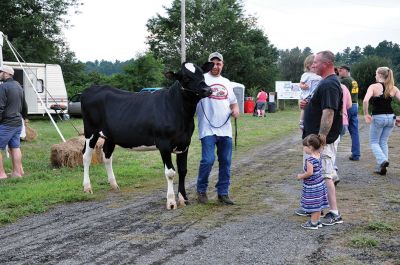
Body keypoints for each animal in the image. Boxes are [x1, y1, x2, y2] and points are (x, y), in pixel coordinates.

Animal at [79, 61, 214, 208]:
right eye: (185, 77)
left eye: (202, 73)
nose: (207, 90)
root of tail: (91, 89)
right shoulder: (164, 144)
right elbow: (170, 172)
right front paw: (171, 202)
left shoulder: (185, 143)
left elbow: (183, 170)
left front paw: (184, 199)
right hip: (90, 131)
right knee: (86, 156)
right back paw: (87, 187)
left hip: (110, 136)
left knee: (107, 156)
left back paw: (114, 185)